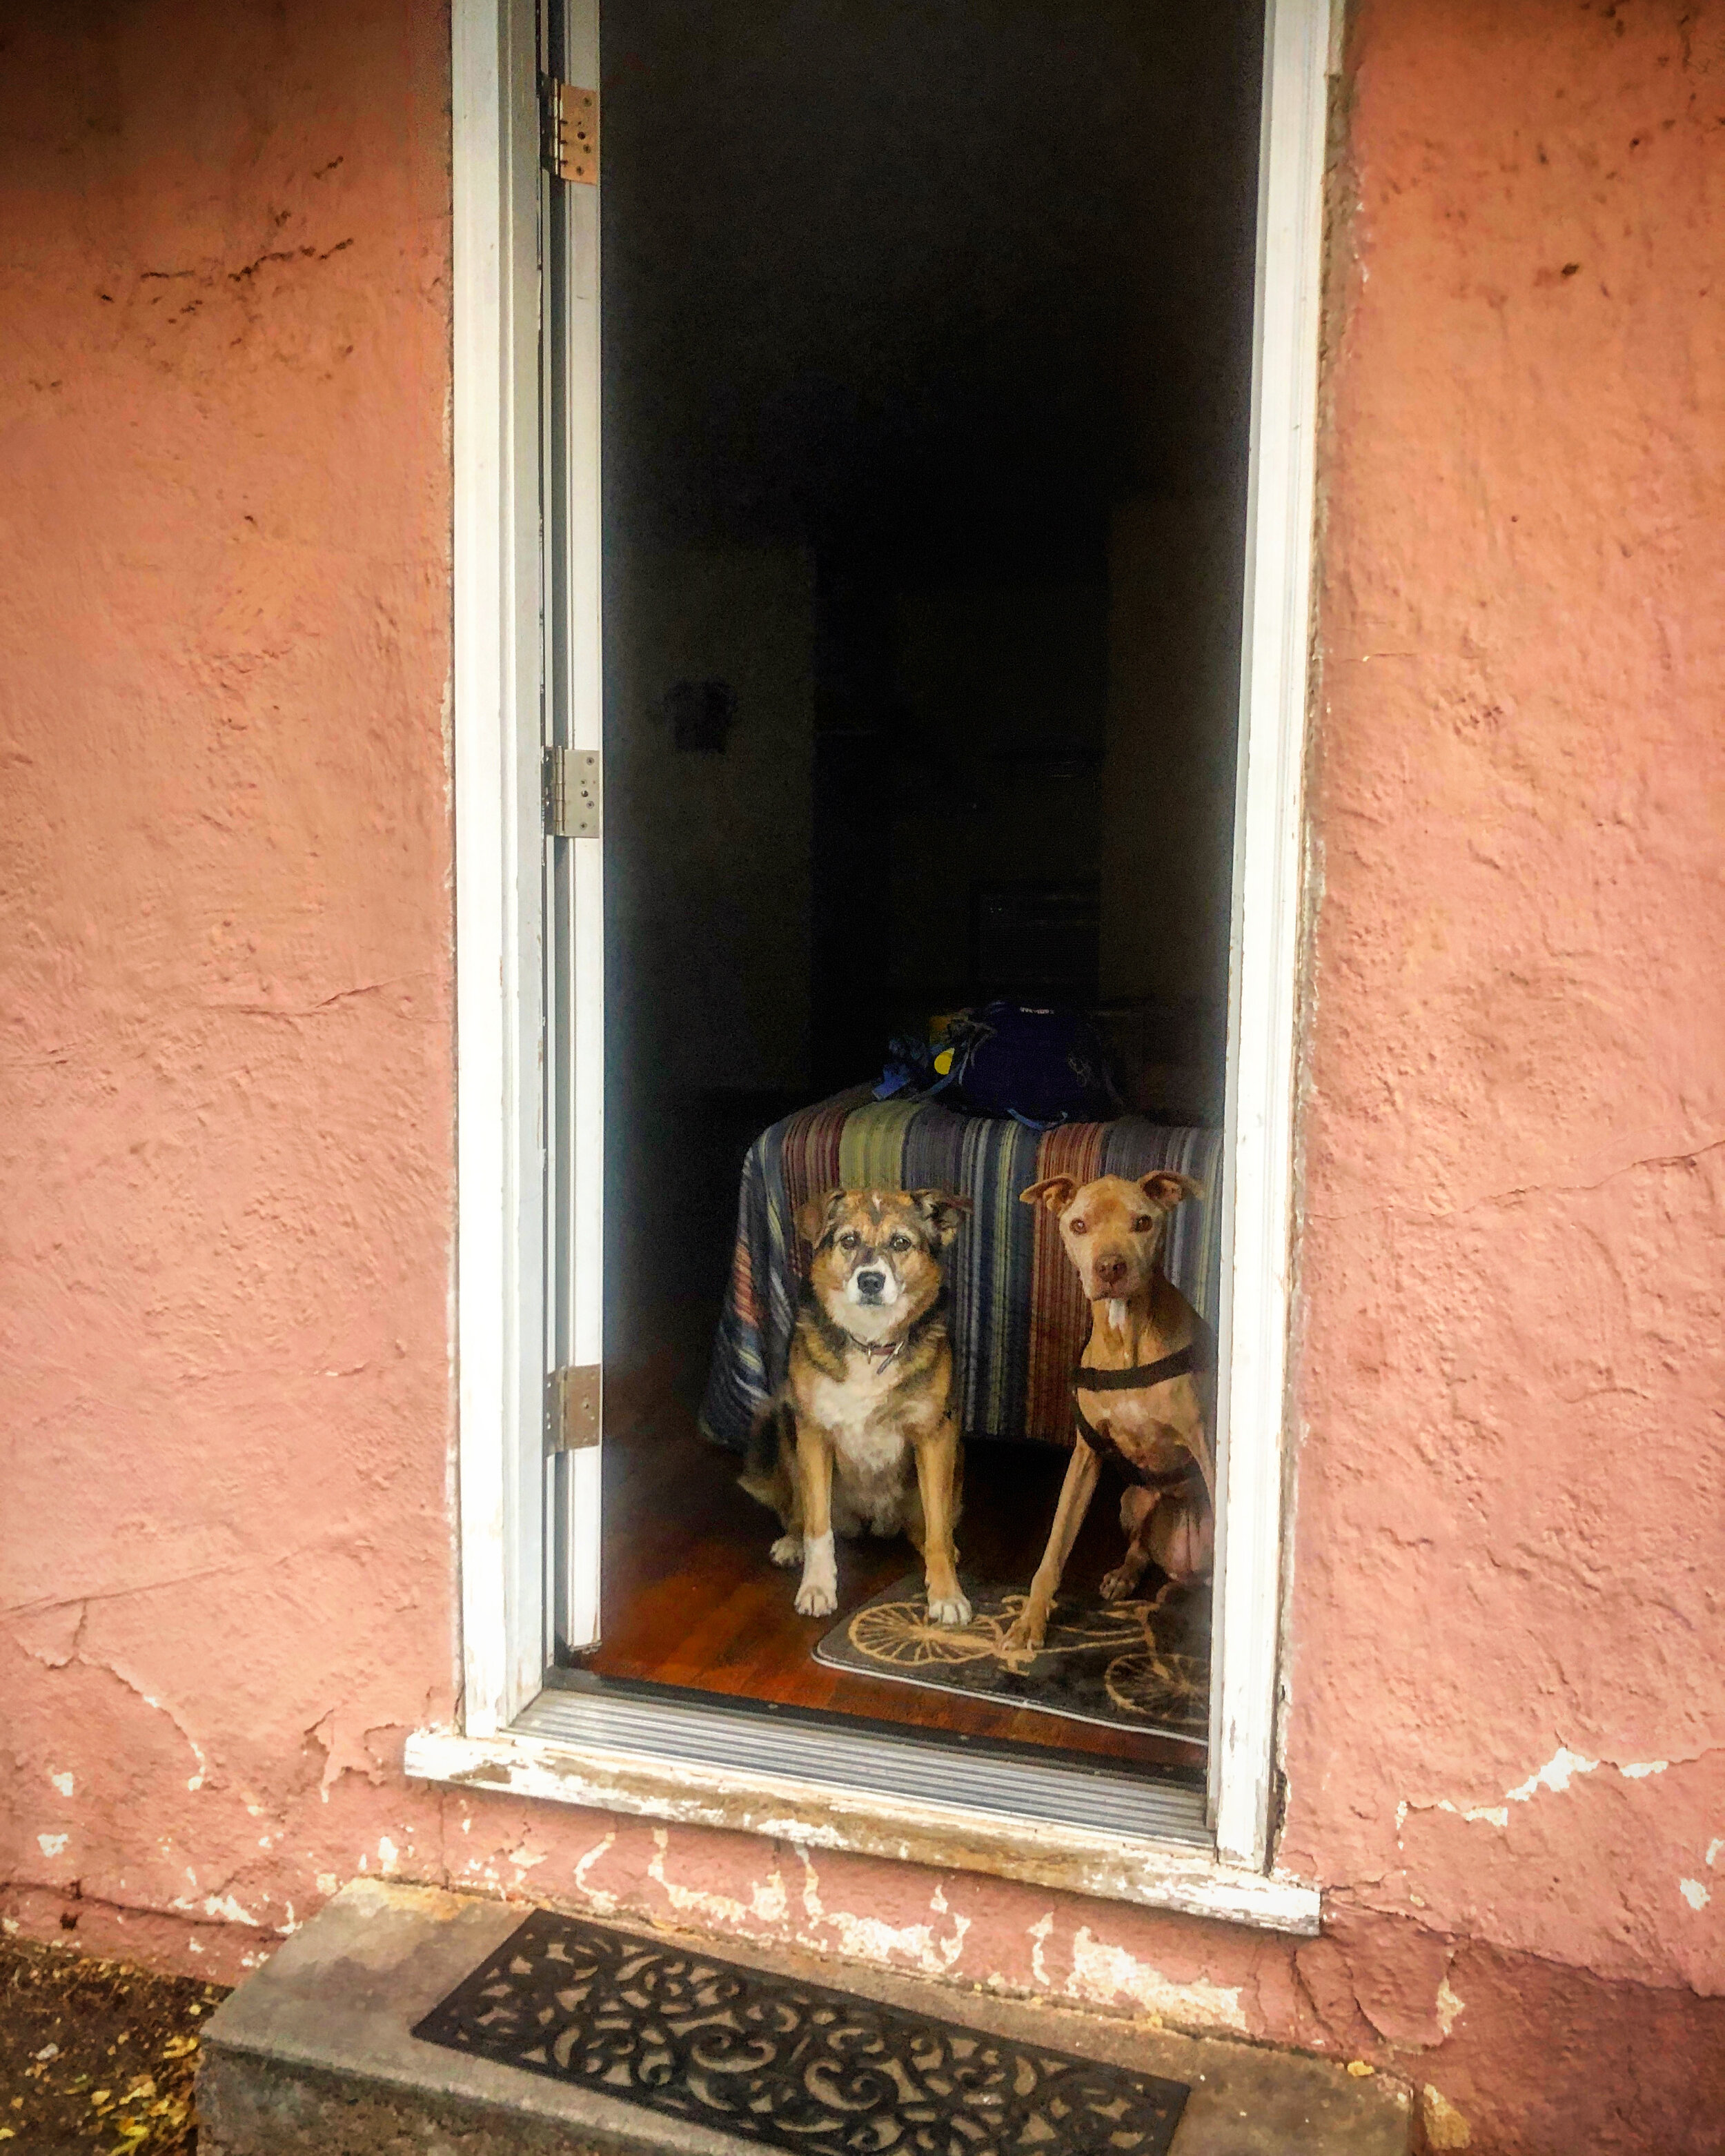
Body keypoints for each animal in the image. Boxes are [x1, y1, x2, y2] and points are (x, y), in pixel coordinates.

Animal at [742, 1198, 978, 1621]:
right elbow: (818, 1528)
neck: (870, 1344)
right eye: (848, 1240)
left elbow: (937, 1529)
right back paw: (791, 1541)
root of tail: (873, 1522)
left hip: (955, 1456)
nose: (870, 1281)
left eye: (901, 1242)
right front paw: (817, 1587)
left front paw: (947, 1594)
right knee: (798, 1509)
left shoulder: (935, 1435)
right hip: (782, 1422)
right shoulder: (814, 1433)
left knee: (928, 1527)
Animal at [996, 1173, 1216, 1656]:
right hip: (1132, 1500)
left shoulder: (1206, 1446)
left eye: (1143, 1222)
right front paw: (1029, 1622)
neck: (1126, 1335)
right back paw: (1125, 1575)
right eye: (1078, 1225)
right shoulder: (1087, 1454)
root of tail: (1187, 1569)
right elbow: (1055, 1545)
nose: (1111, 1268)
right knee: (1141, 1546)